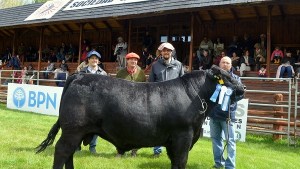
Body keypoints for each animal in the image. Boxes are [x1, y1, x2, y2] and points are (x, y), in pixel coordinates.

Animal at [36, 65, 245, 169]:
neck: (194, 95)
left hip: (77, 132)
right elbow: (180, 161)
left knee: (69, 153)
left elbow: (175, 162)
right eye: (227, 77)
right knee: (62, 151)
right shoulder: (182, 136)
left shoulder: (175, 141)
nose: (243, 88)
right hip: (73, 129)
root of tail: (79, 76)